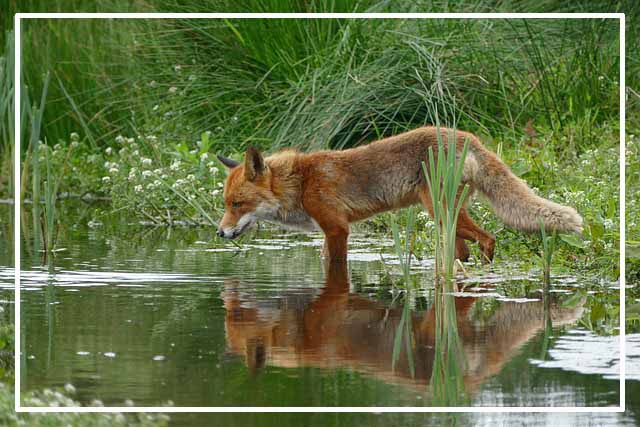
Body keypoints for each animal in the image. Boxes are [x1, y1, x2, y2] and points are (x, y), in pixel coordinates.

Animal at [216, 125, 584, 262]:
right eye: (226, 205)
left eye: (238, 204)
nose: (219, 233)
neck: (301, 183)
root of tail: (468, 137)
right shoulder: (328, 232)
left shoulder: (337, 229)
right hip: (447, 219)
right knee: (465, 250)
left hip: (440, 211)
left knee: (489, 238)